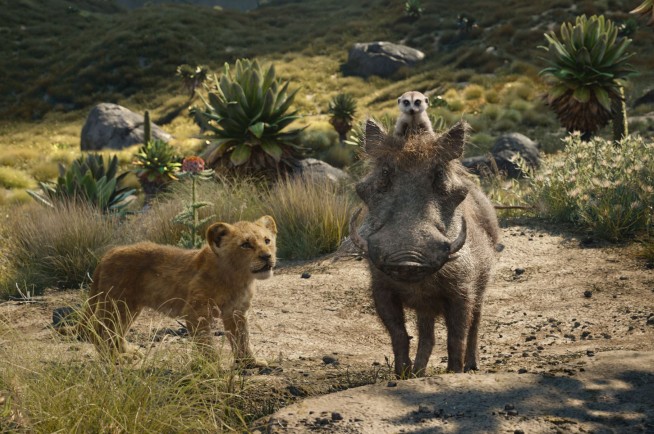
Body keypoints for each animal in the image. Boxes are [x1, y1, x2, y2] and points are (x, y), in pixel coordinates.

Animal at [76, 215, 277, 367]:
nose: (267, 256)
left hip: (128, 306)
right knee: (100, 330)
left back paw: (128, 352)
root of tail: (107, 254)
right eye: (245, 245)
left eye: (267, 241)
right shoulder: (196, 312)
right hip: (117, 303)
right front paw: (212, 367)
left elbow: (242, 338)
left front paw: (249, 362)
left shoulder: (236, 312)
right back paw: (116, 358)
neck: (238, 278)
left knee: (116, 331)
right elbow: (205, 342)